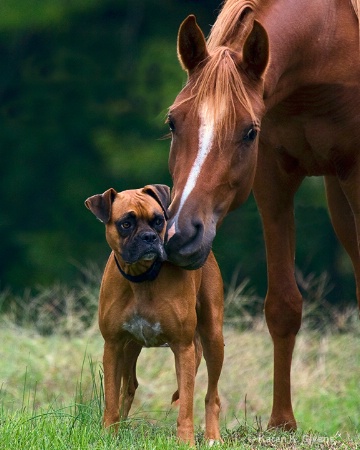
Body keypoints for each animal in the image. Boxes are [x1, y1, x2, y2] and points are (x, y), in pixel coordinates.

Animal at [85, 185, 224, 444]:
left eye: (158, 221)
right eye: (126, 223)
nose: (149, 237)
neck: (142, 278)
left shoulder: (183, 347)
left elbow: (186, 405)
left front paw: (186, 442)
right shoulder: (113, 346)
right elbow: (111, 398)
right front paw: (109, 433)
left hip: (213, 339)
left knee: (212, 395)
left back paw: (213, 436)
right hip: (129, 348)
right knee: (128, 387)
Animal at [165, 0, 360, 428]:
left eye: (248, 131)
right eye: (172, 122)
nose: (181, 234)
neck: (327, 42)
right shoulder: (272, 177)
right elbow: (282, 305)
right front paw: (282, 421)